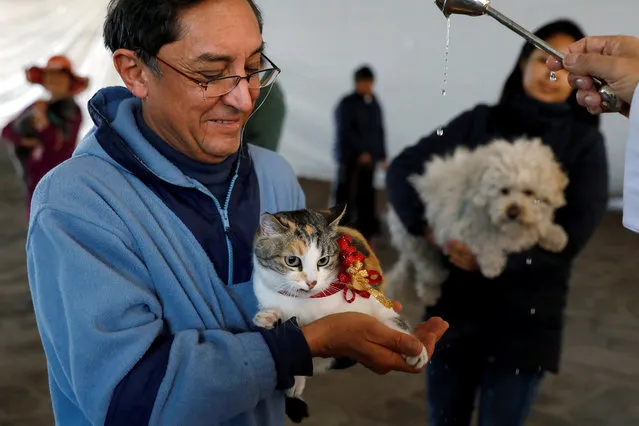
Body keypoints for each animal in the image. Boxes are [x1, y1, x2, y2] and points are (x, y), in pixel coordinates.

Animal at [252, 205, 428, 422]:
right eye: (292, 260)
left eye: (323, 260)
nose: (311, 282)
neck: (309, 301)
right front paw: (269, 317)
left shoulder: (373, 299)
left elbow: (393, 319)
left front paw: (415, 349)